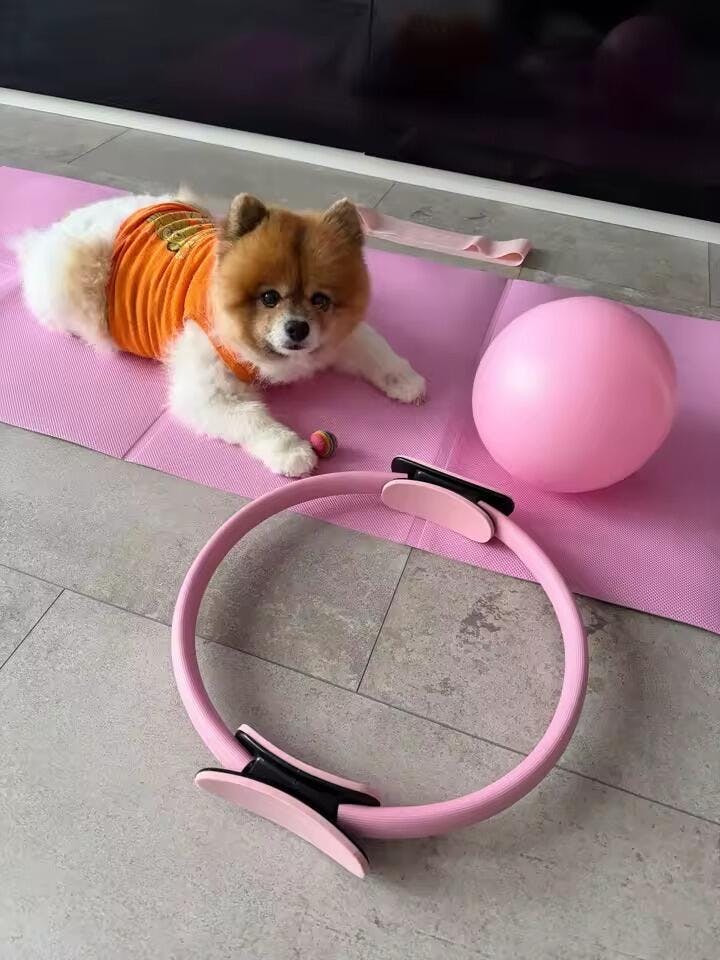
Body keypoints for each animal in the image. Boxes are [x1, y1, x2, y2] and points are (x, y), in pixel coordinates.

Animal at [14, 191, 426, 476]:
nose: (298, 328)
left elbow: (375, 349)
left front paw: (404, 380)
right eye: (269, 297)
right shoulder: (207, 390)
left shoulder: (335, 337)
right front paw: (289, 450)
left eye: (320, 300)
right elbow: (251, 418)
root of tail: (50, 234)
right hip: (75, 282)